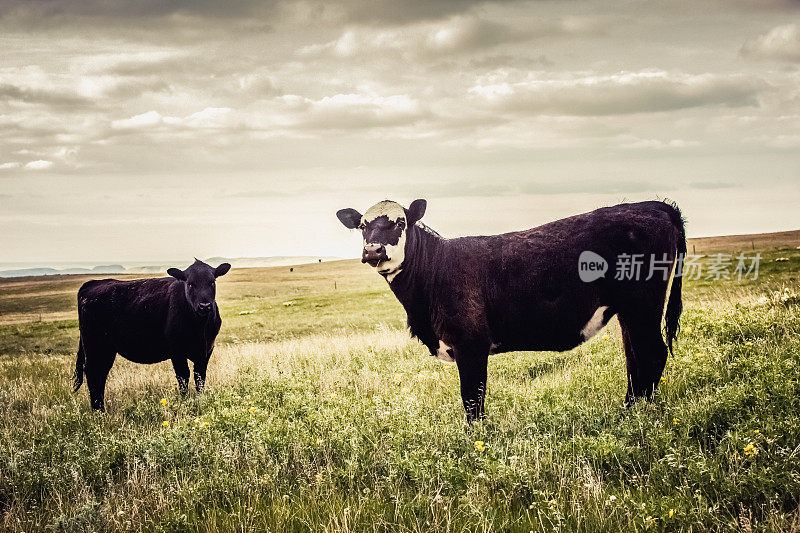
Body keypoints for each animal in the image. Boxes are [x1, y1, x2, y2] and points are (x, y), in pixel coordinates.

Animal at [73, 260, 230, 410]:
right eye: (190, 284)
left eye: (212, 282)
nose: (205, 306)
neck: (200, 328)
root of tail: (93, 283)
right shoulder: (176, 351)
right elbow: (183, 377)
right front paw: (185, 402)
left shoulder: (205, 351)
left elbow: (200, 378)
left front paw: (200, 400)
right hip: (95, 345)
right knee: (93, 373)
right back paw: (98, 411)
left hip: (106, 349)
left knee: (101, 374)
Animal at [334, 197, 684, 422]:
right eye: (362, 226)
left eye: (400, 222)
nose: (373, 250)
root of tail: (653, 205)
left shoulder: (471, 344)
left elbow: (472, 400)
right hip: (629, 310)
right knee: (634, 357)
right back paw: (627, 412)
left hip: (642, 304)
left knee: (651, 353)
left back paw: (637, 419)